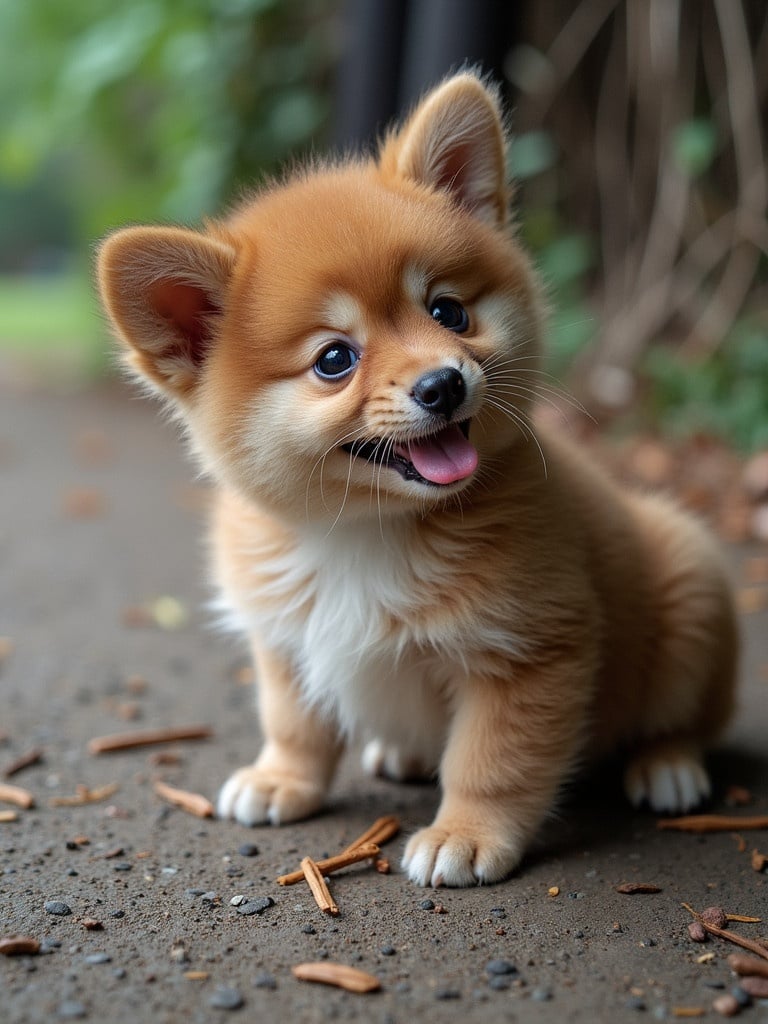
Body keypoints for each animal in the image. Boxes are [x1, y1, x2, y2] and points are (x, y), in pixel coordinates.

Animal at [97, 74, 741, 888]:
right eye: (334, 360)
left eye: (449, 311)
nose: (443, 383)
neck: (363, 533)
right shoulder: (284, 639)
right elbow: (294, 723)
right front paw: (281, 780)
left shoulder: (528, 653)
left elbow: (492, 761)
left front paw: (466, 832)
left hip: (691, 592)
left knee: (686, 720)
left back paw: (667, 768)